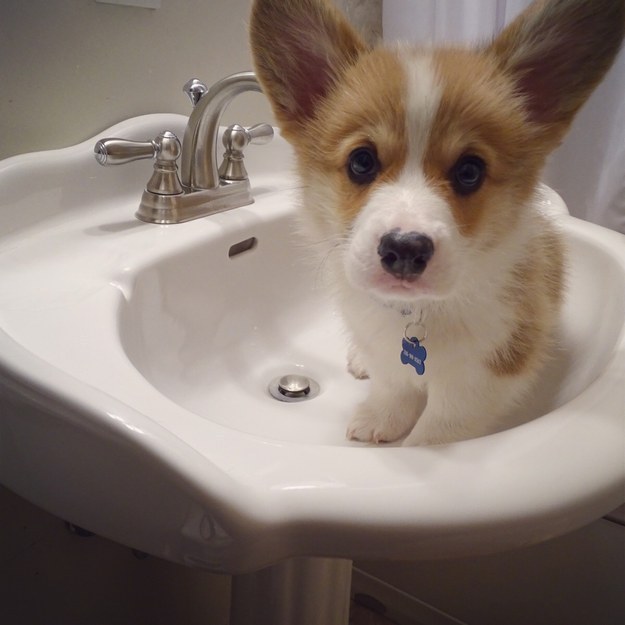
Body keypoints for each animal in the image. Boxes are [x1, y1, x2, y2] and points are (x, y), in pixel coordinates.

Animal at [249, 0, 624, 444]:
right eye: (361, 161)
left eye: (469, 171)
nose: (404, 249)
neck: (417, 314)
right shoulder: (388, 355)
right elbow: (393, 389)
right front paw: (380, 419)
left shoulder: (484, 377)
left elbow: (439, 428)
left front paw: (416, 447)